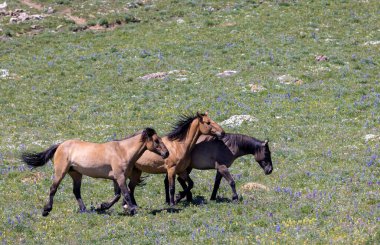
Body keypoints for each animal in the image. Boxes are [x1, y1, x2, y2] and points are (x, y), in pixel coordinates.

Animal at [21, 127, 168, 215]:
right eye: (156, 140)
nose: (166, 153)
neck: (122, 151)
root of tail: (60, 145)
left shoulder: (117, 178)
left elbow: (117, 195)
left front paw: (103, 206)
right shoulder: (120, 177)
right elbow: (125, 193)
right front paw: (132, 209)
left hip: (76, 174)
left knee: (76, 191)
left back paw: (84, 210)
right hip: (60, 172)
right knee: (53, 189)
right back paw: (46, 210)